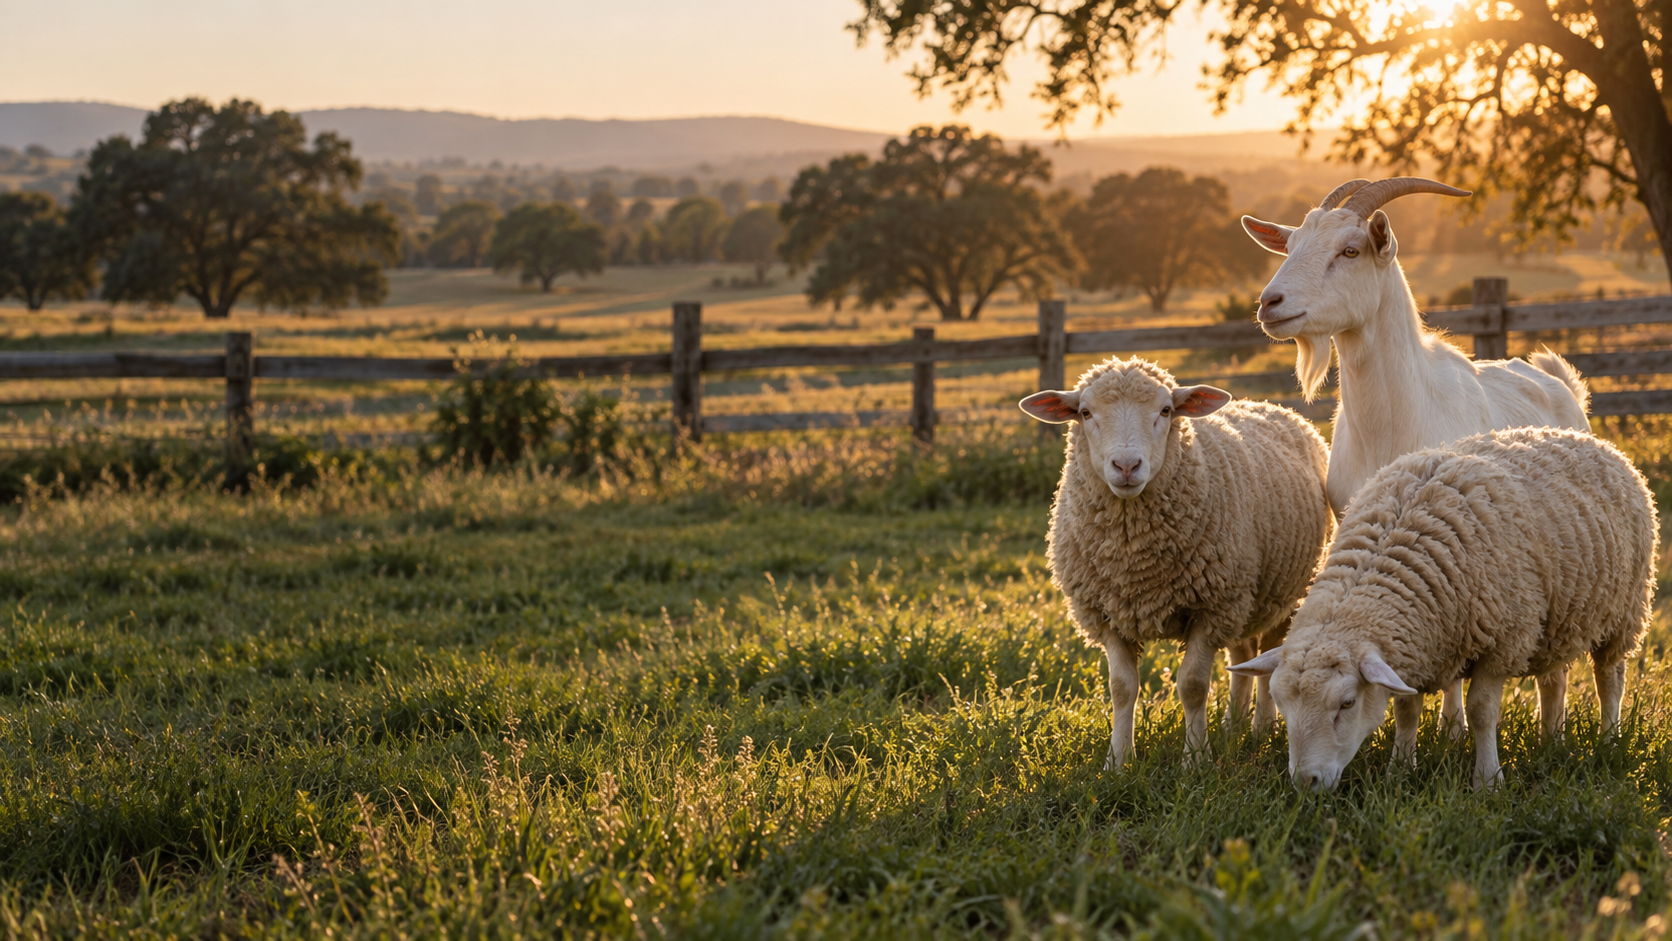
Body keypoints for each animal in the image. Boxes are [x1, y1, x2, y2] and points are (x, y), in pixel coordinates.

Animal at [1020, 357, 1334, 767]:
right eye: (1085, 413)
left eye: (1166, 410)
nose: (1126, 466)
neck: (1134, 557)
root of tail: (1269, 405)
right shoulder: (1107, 613)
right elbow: (1121, 688)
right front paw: (1118, 761)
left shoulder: (1211, 608)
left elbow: (1193, 685)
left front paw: (1196, 759)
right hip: (1243, 597)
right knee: (1243, 656)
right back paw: (1233, 725)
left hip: (1282, 596)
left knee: (1269, 657)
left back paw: (1261, 729)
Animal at [1229, 427, 1657, 790]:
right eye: (1282, 705)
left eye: (1346, 704)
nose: (1307, 783)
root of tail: (1596, 441)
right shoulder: (1413, 651)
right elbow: (1406, 711)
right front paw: (1400, 770)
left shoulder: (1504, 641)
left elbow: (1482, 712)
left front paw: (1487, 781)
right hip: (1556, 620)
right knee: (1553, 681)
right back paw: (1551, 740)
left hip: (1624, 613)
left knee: (1609, 679)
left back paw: (1609, 740)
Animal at [1240, 177, 1592, 739]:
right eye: (1290, 245)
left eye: (1350, 250)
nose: (1271, 302)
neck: (1393, 421)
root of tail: (1560, 382)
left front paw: (1449, 728)